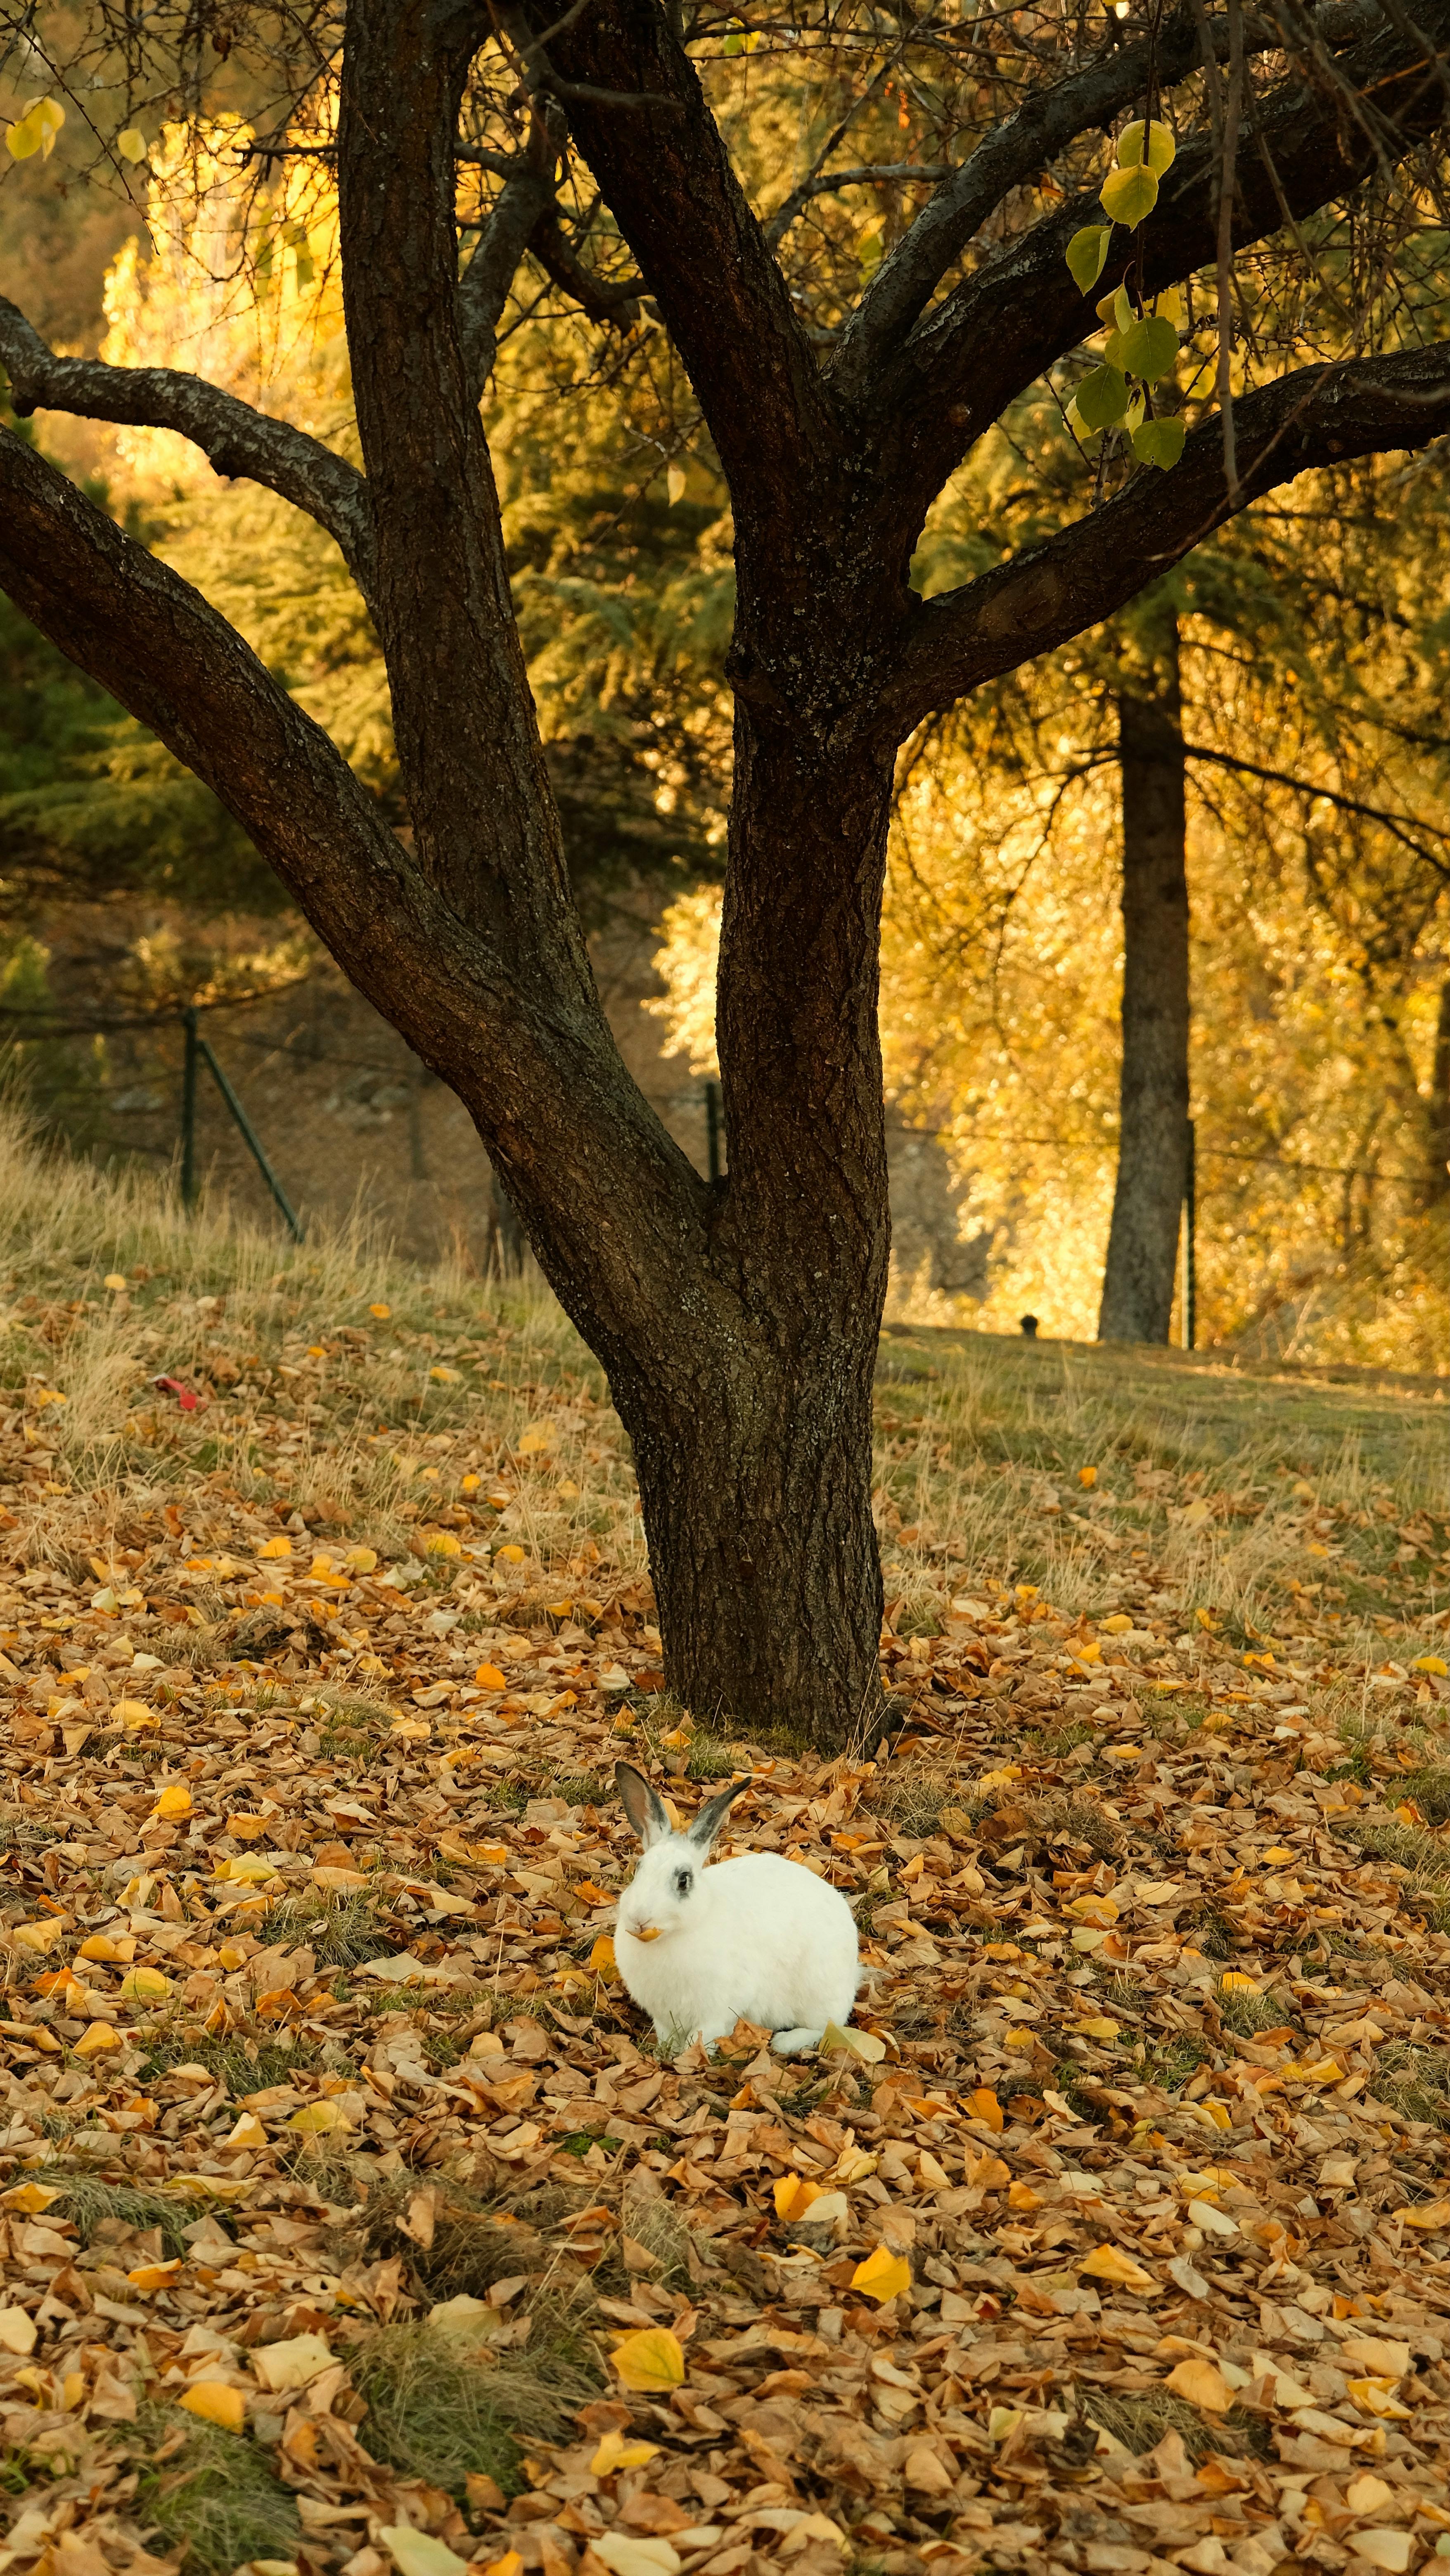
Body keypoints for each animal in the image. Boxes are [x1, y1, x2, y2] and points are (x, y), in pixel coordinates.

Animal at [613, 1762, 861, 2056]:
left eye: (683, 1880)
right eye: (638, 1869)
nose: (639, 1919)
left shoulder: (718, 2013)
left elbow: (701, 2039)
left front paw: (688, 2058)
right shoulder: (665, 2018)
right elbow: (668, 2037)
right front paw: (668, 2054)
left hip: (819, 1993)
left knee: (829, 2028)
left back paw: (784, 2043)